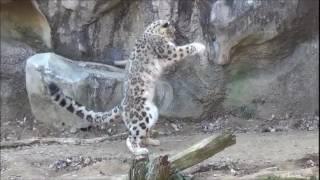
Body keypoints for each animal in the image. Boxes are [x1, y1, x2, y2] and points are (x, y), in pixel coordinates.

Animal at [47, 19, 205, 155]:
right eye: (172, 31)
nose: (174, 37)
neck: (151, 31)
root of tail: (122, 104)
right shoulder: (166, 49)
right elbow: (183, 49)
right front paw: (200, 46)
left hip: (152, 112)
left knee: (142, 133)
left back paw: (152, 141)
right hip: (142, 115)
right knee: (131, 137)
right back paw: (139, 150)